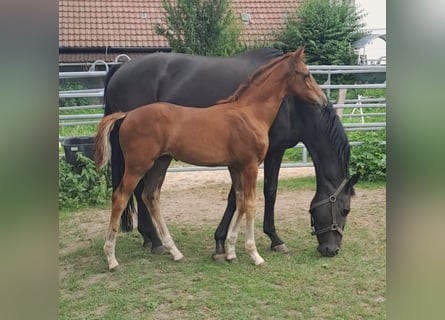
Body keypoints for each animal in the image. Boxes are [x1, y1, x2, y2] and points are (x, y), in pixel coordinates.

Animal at [104, 47, 358, 258]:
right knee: (136, 192)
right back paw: (155, 241)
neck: (291, 106)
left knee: (141, 192)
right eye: (345, 209)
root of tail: (120, 69)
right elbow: (259, 194)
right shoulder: (268, 153)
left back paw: (149, 239)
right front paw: (252, 240)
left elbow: (255, 194)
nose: (331, 250)